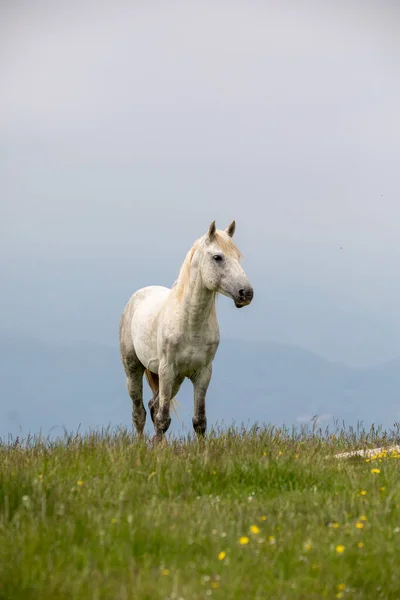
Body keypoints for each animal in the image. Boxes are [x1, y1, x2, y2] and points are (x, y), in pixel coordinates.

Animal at [119, 221, 253, 440]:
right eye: (218, 257)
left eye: (238, 257)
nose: (246, 293)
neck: (190, 325)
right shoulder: (167, 370)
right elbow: (163, 419)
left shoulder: (203, 374)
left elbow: (199, 421)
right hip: (134, 369)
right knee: (140, 413)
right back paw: (140, 444)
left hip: (177, 380)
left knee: (153, 406)